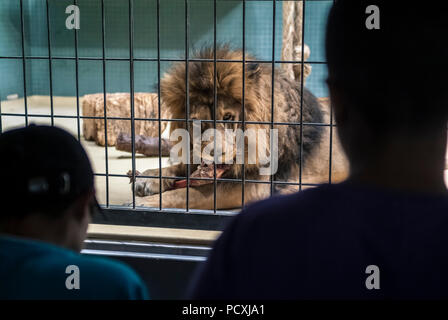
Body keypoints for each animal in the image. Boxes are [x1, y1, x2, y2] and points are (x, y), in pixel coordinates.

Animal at [130, 45, 350, 210]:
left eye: (228, 117)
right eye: (197, 122)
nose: (214, 154)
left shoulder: (254, 187)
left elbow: (187, 192)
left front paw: (143, 203)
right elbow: (180, 168)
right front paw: (149, 178)